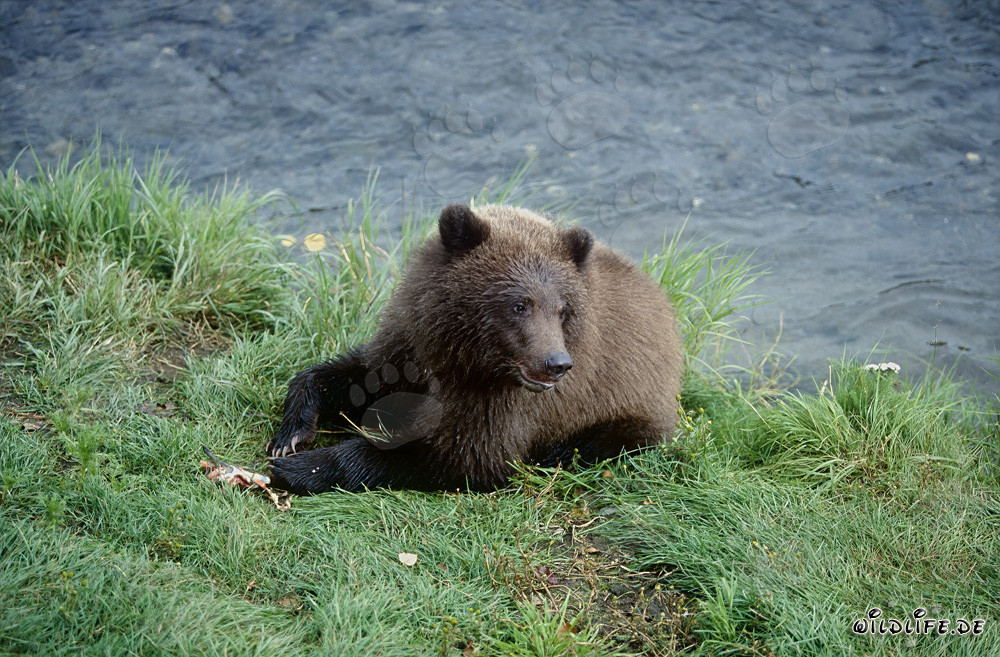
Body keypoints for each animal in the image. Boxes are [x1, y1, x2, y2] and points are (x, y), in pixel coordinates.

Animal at [266, 203, 683, 494]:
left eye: (563, 309)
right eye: (520, 304)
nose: (557, 363)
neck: (464, 356)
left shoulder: (505, 406)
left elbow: (460, 457)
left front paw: (301, 467)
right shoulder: (408, 346)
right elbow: (353, 376)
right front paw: (290, 437)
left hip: (626, 412)